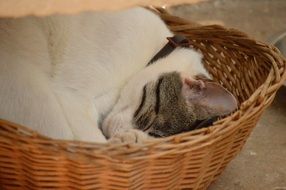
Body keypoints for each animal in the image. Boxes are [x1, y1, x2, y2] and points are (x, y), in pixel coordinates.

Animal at [0, 8, 237, 143]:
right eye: (149, 121)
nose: (116, 134)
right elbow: (92, 145)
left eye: (156, 136)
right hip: (38, 96)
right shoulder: (71, 96)